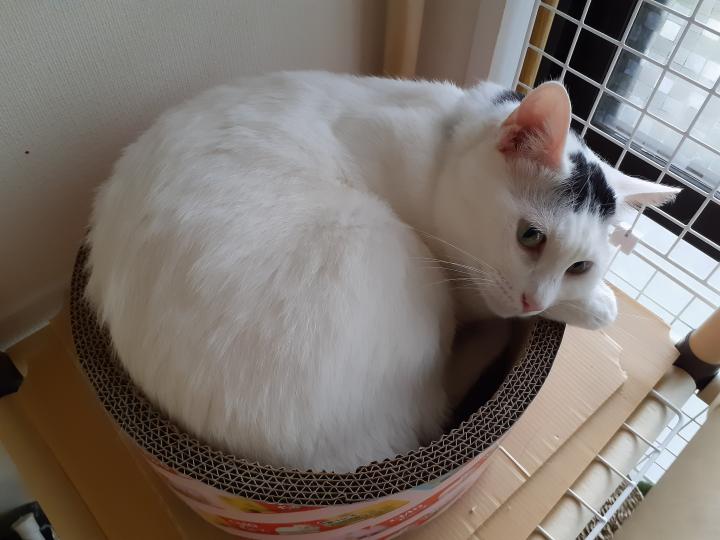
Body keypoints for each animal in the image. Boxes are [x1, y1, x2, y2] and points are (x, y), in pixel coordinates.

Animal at [86, 71, 678, 473]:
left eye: (580, 265)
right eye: (530, 236)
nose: (533, 303)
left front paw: (585, 300)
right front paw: (595, 306)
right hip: (376, 242)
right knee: (436, 401)